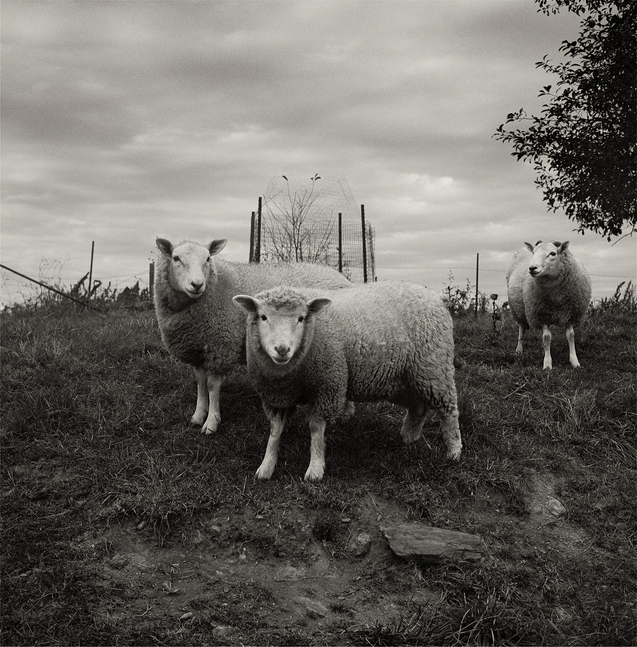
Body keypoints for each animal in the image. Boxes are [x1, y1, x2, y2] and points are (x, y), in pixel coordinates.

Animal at [154, 238, 351, 434]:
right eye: (176, 258)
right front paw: (198, 415)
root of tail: (338, 275)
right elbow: (201, 383)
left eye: (208, 259)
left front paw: (211, 422)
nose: (197, 284)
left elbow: (212, 386)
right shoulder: (198, 348)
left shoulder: (221, 348)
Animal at [233, 282, 462, 482]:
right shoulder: (276, 395)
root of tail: (431, 294)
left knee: (448, 411)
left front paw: (315, 468)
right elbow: (275, 431)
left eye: (301, 318)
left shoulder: (328, 385)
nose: (282, 349)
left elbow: (316, 429)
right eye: (263, 317)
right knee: (419, 407)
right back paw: (409, 437)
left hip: (435, 368)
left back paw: (454, 451)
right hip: (407, 378)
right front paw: (266, 466)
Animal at [506, 240, 591, 370]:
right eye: (534, 252)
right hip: (517, 310)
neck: (557, 297)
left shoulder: (571, 314)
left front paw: (574, 361)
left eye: (553, 253)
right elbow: (547, 337)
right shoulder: (542, 315)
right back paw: (519, 349)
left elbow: (571, 336)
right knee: (521, 329)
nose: (532, 268)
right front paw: (547, 364)